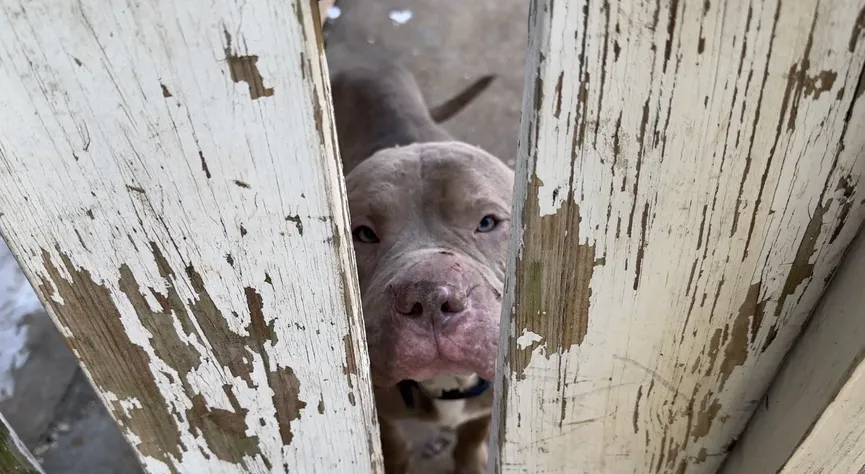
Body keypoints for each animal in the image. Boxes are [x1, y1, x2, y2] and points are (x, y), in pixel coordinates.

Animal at [328, 45, 510, 474]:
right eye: (363, 233)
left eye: (488, 222)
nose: (429, 297)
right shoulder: (382, 410)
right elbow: (393, 446)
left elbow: (473, 435)